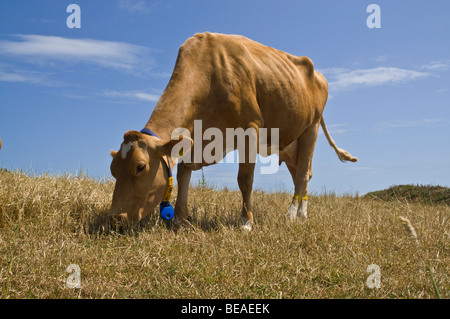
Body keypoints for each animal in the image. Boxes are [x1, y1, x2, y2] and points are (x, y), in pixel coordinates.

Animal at [108, 32, 356, 230]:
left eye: (140, 167)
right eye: (113, 169)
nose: (115, 219)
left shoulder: (249, 129)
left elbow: (244, 179)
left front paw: (246, 221)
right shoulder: (191, 139)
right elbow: (182, 174)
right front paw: (180, 218)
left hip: (310, 129)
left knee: (303, 174)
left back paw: (294, 214)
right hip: (289, 143)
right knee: (301, 175)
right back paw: (302, 212)